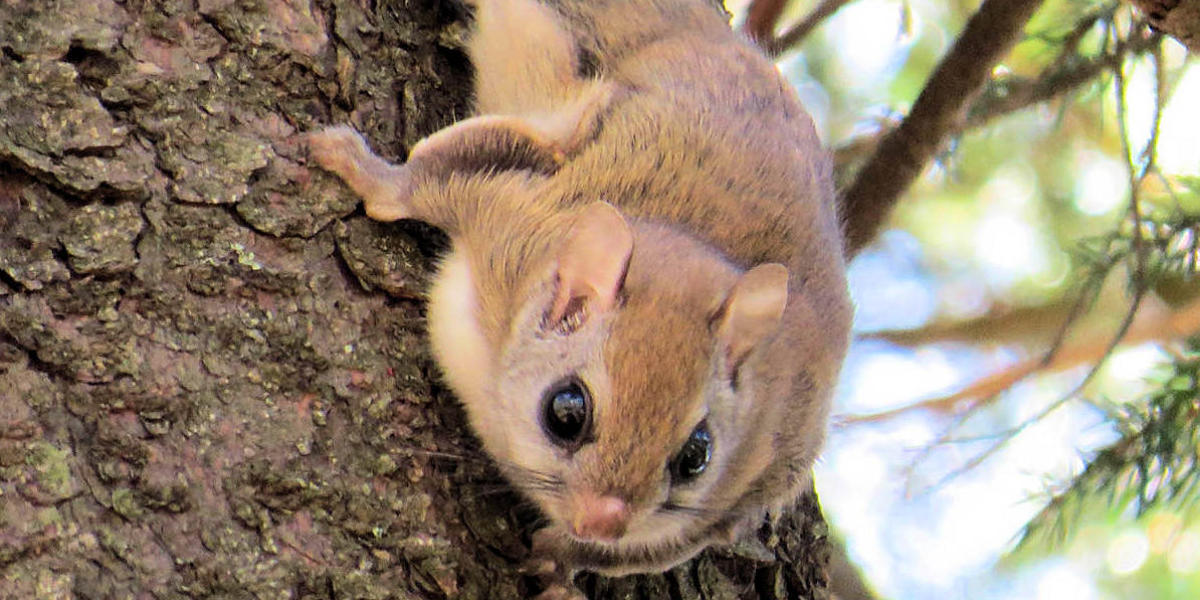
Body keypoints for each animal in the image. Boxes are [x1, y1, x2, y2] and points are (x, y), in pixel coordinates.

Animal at [309, 0, 854, 592]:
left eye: (696, 456)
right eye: (565, 412)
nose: (603, 520)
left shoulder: (750, 484)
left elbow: (643, 550)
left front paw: (560, 559)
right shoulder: (509, 214)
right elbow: (424, 184)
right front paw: (358, 167)